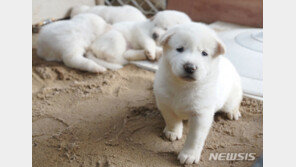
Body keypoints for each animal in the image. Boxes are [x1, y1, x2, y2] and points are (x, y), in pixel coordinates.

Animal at [153, 22, 243, 165]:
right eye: (180, 49)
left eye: (204, 53)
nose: (190, 67)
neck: (183, 86)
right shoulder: (165, 102)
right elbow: (172, 119)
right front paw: (172, 131)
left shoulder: (201, 114)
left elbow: (195, 137)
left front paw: (189, 155)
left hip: (232, 95)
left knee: (235, 101)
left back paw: (233, 112)